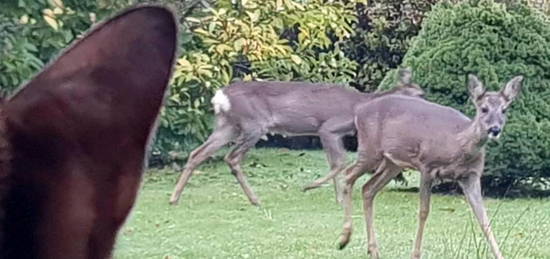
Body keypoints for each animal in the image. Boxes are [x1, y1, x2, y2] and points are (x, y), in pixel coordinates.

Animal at [169, 69, 426, 207]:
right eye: (420, 93)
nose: (430, 105)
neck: (359, 107)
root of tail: (220, 96)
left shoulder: (333, 133)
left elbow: (335, 163)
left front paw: (338, 197)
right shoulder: (328, 128)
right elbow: (339, 163)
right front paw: (313, 187)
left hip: (228, 125)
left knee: (198, 153)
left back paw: (174, 198)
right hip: (254, 125)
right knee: (231, 158)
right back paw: (255, 199)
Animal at [324, 74, 528, 258]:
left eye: (504, 110)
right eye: (484, 109)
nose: (495, 129)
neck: (457, 143)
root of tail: (359, 111)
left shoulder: (471, 176)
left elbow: (484, 218)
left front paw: (500, 255)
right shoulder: (427, 166)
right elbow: (423, 211)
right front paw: (415, 254)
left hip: (393, 163)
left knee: (368, 188)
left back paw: (372, 249)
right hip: (370, 150)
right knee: (348, 175)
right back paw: (344, 238)